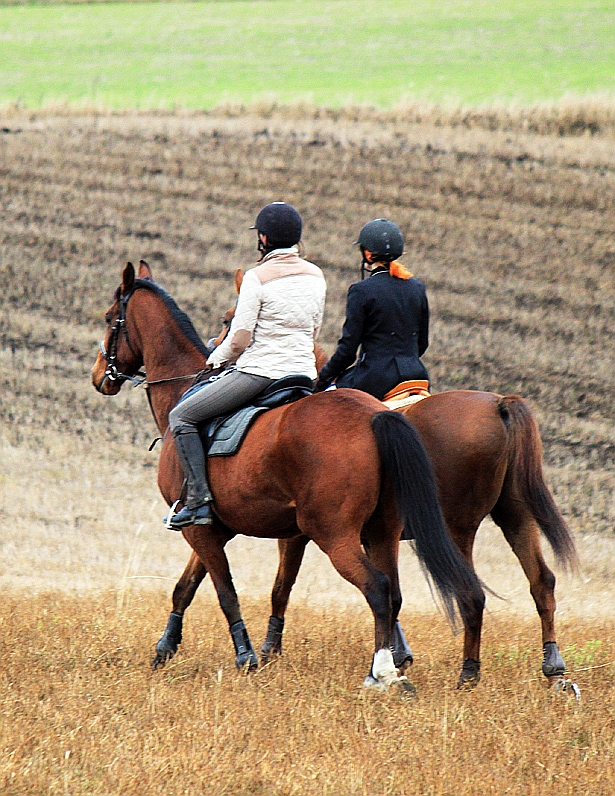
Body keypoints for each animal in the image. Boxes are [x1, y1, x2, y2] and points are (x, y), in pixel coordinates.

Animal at [91, 260, 484, 691]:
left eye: (110, 318)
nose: (99, 375)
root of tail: (375, 414)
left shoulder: (199, 528)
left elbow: (224, 591)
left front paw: (245, 656)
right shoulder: (216, 529)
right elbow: (186, 588)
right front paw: (165, 648)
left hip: (336, 534)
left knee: (378, 589)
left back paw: (381, 673)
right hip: (382, 531)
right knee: (393, 593)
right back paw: (399, 668)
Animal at [155, 270, 577, 688]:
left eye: (230, 318)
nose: (217, 355)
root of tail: (499, 403)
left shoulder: (278, 532)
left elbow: (263, 588)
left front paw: (260, 653)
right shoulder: (255, 529)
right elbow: (199, 584)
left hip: (450, 527)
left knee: (464, 592)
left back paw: (464, 672)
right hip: (512, 515)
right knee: (541, 581)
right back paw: (552, 667)